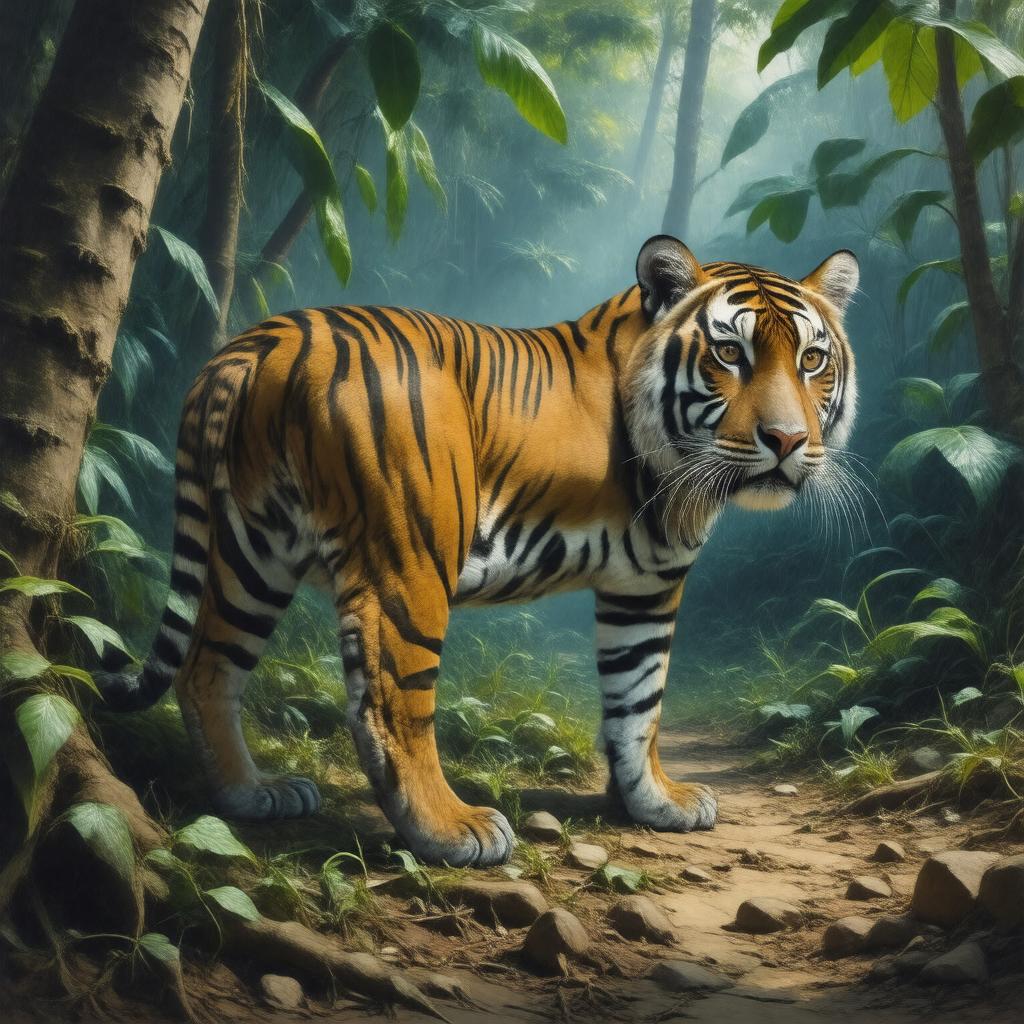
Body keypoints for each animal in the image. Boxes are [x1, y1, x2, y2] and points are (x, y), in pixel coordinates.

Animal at [98, 235, 859, 867]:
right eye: (730, 354)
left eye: (811, 360)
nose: (788, 441)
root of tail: (264, 338)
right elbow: (638, 702)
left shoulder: (644, 587)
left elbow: (637, 702)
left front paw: (654, 802)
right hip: (409, 560)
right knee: (386, 707)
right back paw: (451, 831)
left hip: (252, 554)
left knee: (206, 668)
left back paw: (250, 795)